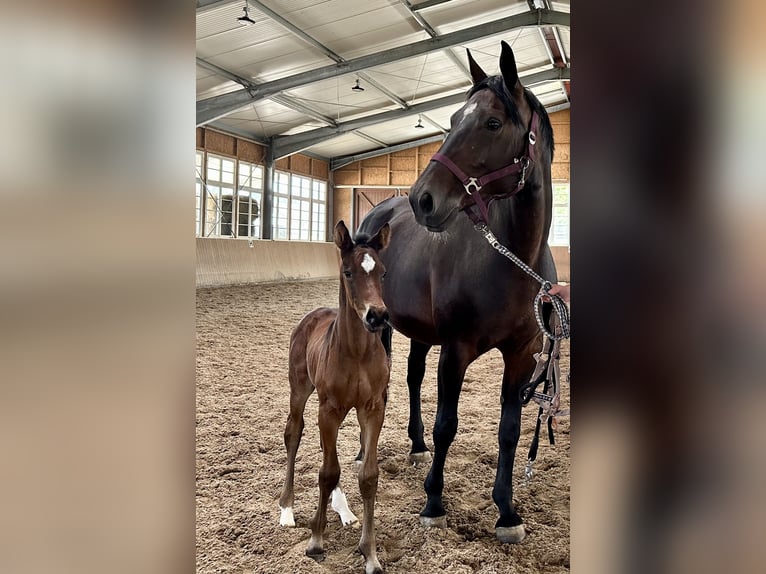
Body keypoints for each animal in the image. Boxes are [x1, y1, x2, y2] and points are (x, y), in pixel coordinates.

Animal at [278, 220, 392, 574]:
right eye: (348, 271)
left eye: (383, 272)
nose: (377, 316)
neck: (356, 352)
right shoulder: (328, 408)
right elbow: (327, 472)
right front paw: (316, 540)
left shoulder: (372, 408)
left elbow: (367, 475)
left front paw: (370, 554)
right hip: (301, 389)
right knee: (294, 433)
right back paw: (286, 509)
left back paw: (344, 509)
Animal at [357, 41, 557, 545]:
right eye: (451, 120)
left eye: (493, 123)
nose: (422, 199)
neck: (510, 258)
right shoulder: (457, 349)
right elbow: (448, 423)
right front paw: (433, 502)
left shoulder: (521, 354)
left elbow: (509, 430)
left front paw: (507, 511)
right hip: (380, 325)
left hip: (419, 332)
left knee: (411, 377)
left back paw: (416, 444)